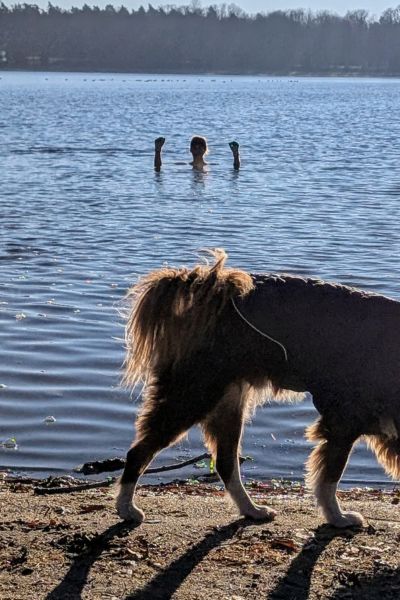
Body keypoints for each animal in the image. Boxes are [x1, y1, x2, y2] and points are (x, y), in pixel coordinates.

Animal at [115, 251, 400, 528]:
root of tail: (207, 288)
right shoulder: (344, 422)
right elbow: (330, 477)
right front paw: (337, 518)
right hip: (191, 396)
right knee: (138, 452)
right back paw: (127, 508)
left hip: (228, 404)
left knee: (226, 463)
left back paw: (251, 510)